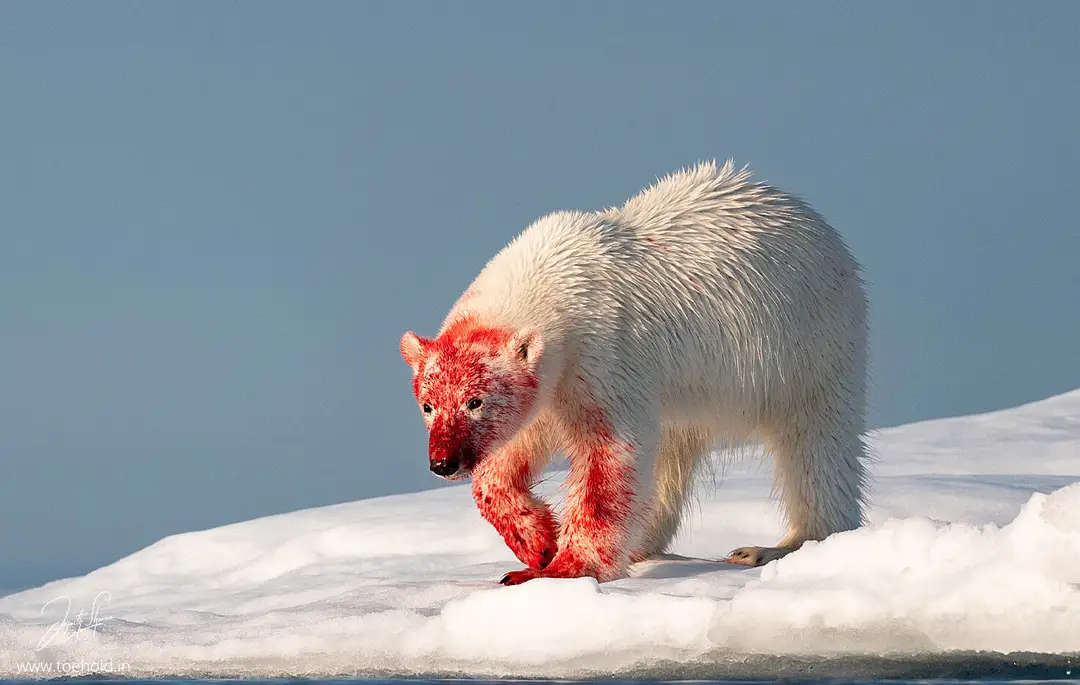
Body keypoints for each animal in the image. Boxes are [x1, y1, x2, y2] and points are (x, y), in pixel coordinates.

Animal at [399, 158, 868, 583]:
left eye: (475, 401)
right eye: (428, 405)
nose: (443, 462)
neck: (554, 280)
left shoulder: (603, 355)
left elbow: (609, 455)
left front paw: (562, 568)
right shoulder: (553, 385)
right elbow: (513, 449)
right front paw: (539, 542)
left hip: (807, 347)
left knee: (814, 445)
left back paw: (776, 547)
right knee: (670, 456)